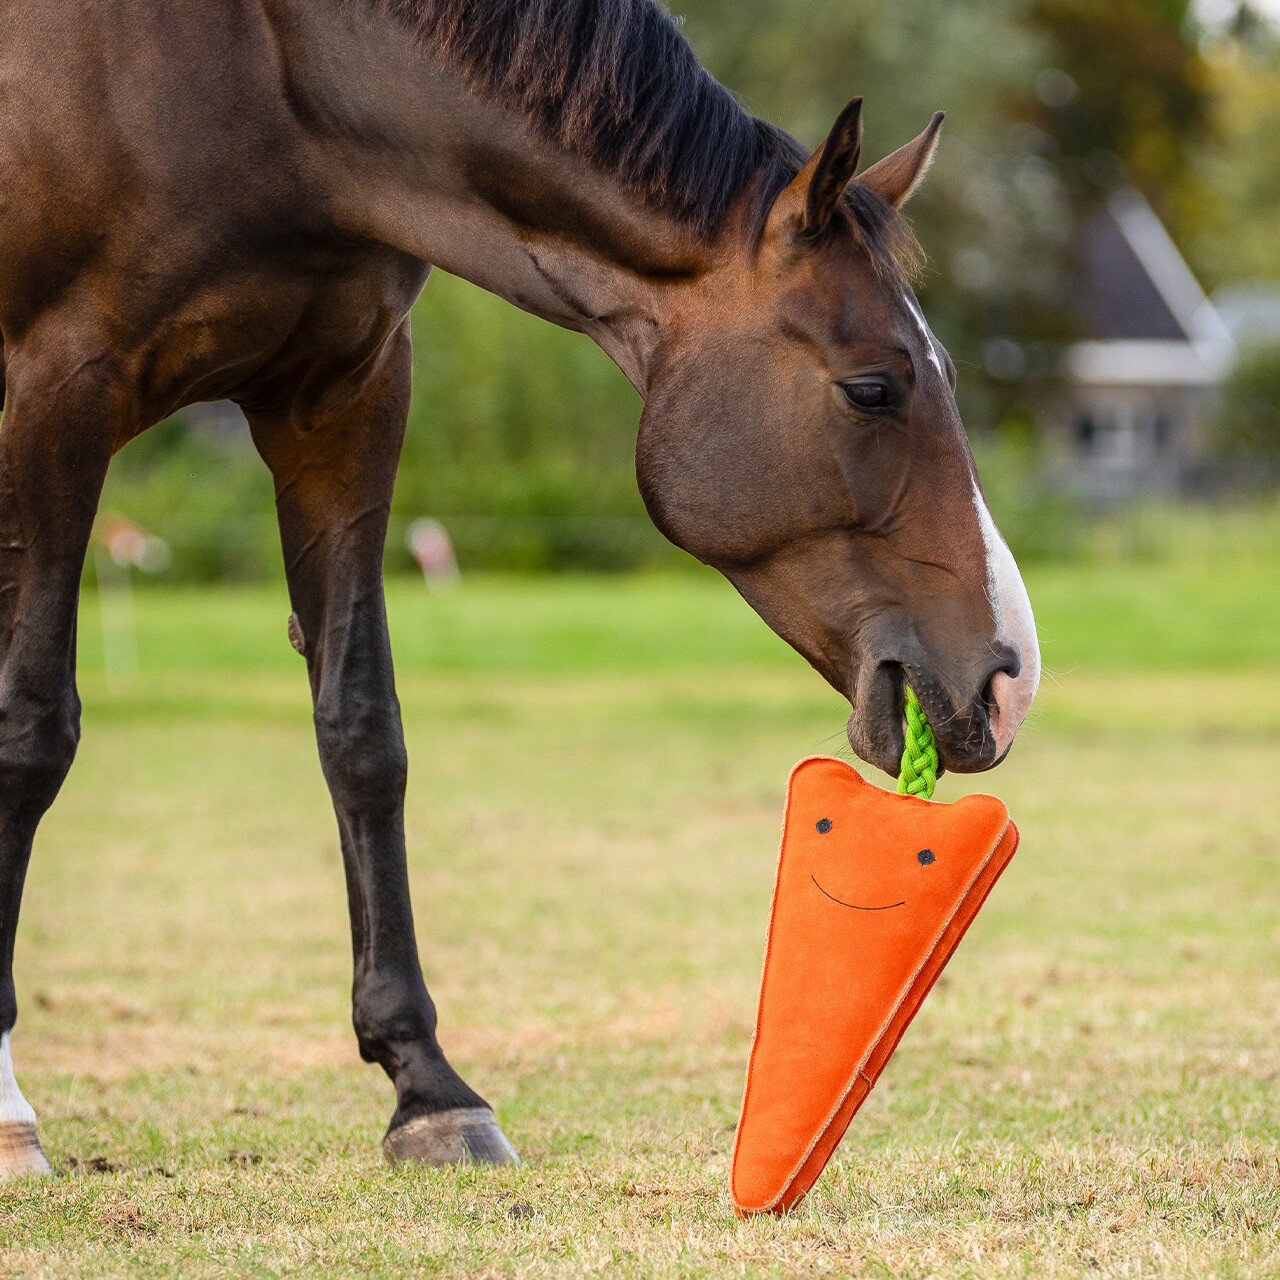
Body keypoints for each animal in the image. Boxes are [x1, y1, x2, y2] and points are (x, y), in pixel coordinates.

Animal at [0, 0, 1039, 1179]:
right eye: (872, 389)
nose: (1007, 677)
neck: (265, 75)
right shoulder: (60, 389)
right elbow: (33, 731)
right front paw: (10, 1111)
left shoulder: (344, 396)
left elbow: (362, 736)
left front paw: (427, 1089)